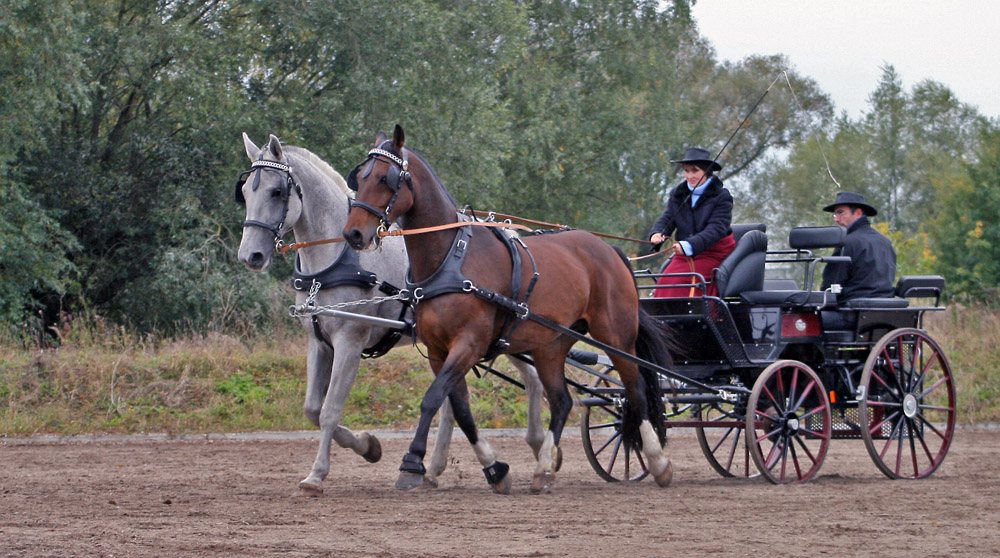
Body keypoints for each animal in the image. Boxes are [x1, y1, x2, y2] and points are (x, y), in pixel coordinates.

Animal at [235, 133, 548, 496]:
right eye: (245, 192)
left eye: (276, 191)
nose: (250, 256)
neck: (337, 257)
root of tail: (512, 235)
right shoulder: (319, 341)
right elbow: (312, 409)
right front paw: (368, 446)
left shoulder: (350, 341)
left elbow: (329, 410)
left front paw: (317, 475)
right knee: (455, 401)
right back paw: (436, 469)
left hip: (510, 335)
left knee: (534, 381)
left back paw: (541, 450)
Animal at [342, 124, 672, 492]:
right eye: (361, 176)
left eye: (385, 178)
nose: (353, 233)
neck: (450, 259)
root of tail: (608, 250)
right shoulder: (439, 351)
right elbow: (460, 409)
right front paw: (495, 469)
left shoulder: (468, 344)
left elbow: (432, 398)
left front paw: (412, 463)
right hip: (550, 345)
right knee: (562, 401)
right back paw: (544, 468)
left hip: (615, 336)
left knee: (635, 391)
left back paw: (658, 462)